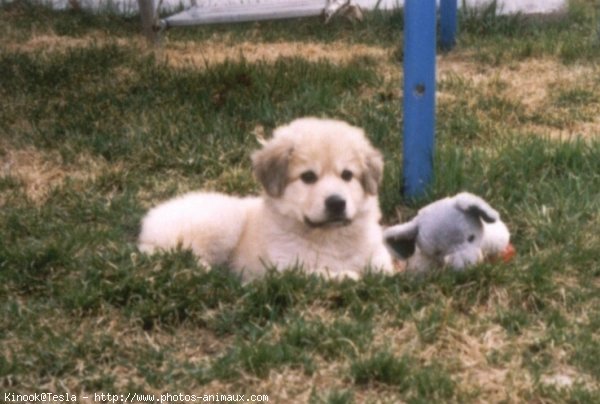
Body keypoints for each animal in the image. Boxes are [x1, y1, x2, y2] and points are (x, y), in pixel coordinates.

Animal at [139, 117, 396, 280]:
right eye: (308, 177)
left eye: (347, 175)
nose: (336, 203)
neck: (329, 236)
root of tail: (152, 218)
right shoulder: (285, 267)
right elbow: (318, 274)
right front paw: (346, 277)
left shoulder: (377, 256)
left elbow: (382, 270)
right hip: (222, 222)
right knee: (180, 253)